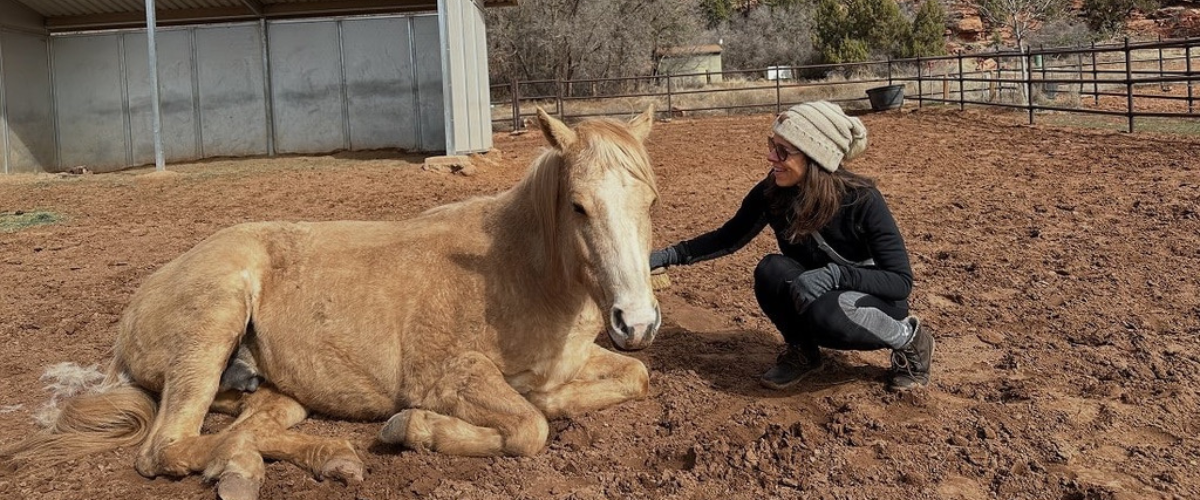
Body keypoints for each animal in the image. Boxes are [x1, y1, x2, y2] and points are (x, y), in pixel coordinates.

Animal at [1, 106, 662, 500]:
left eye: (650, 201)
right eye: (578, 205)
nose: (636, 321)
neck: (520, 273)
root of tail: (133, 312)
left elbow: (634, 376)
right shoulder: (449, 377)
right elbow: (529, 427)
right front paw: (414, 429)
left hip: (274, 392)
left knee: (250, 427)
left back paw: (309, 461)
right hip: (211, 330)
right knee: (165, 447)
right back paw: (265, 467)